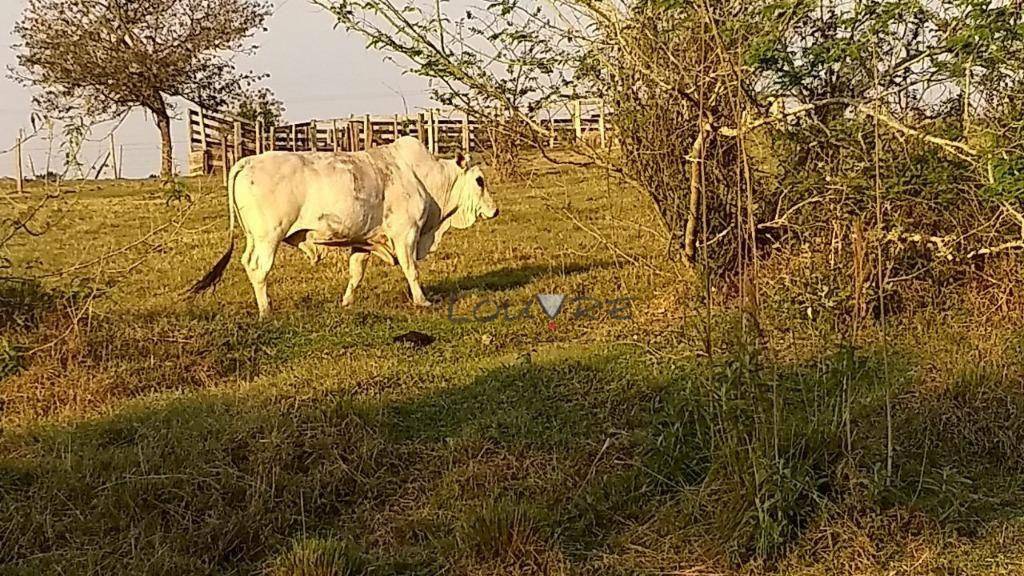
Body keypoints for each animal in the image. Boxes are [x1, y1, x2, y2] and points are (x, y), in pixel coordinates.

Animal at [191, 134, 499, 315]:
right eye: (479, 180)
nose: (495, 210)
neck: (423, 177)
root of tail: (245, 162)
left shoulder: (364, 242)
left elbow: (356, 275)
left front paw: (346, 302)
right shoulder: (406, 234)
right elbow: (412, 270)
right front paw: (422, 301)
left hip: (255, 238)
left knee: (247, 262)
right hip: (269, 238)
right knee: (259, 269)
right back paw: (266, 311)